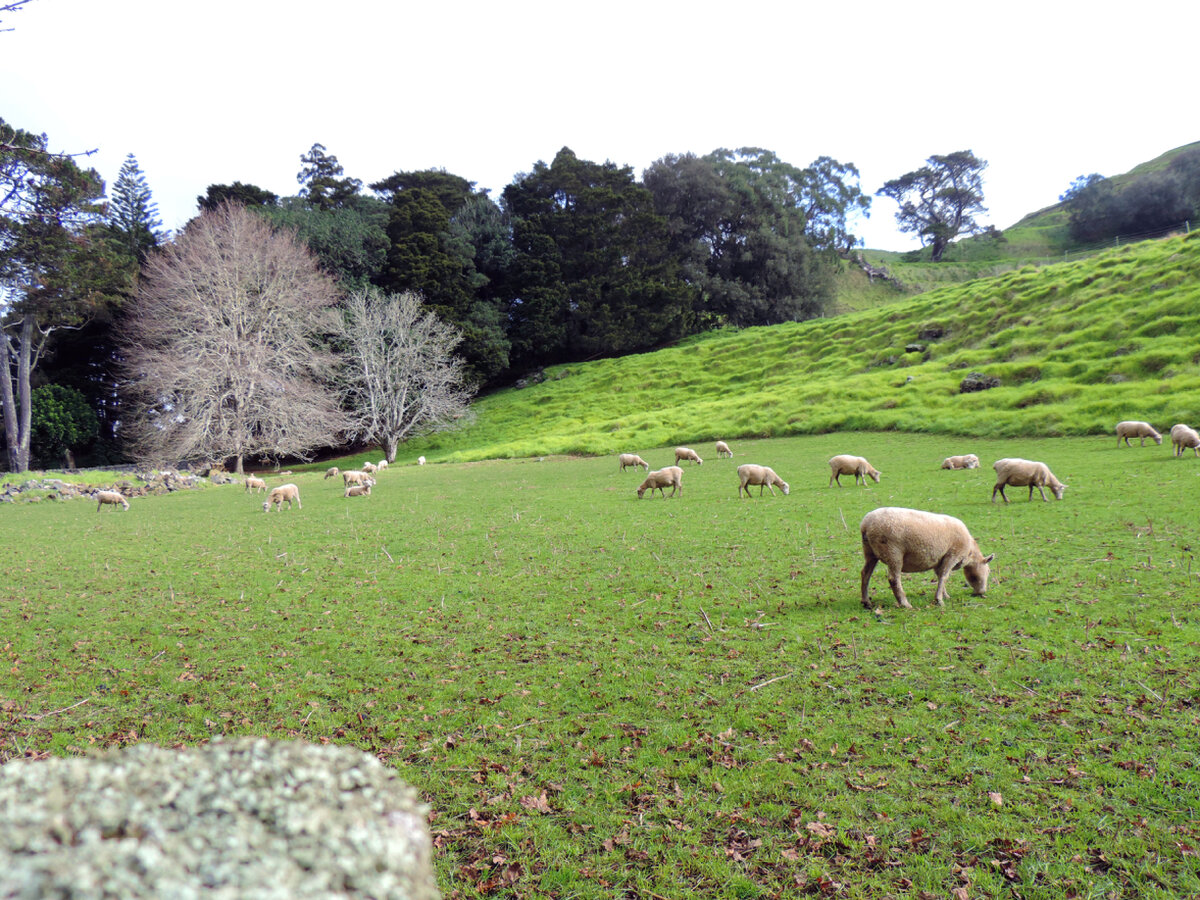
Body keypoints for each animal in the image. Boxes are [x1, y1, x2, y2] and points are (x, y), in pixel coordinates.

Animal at [859, 508, 998, 614]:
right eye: (988, 571)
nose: (981, 593)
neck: (970, 552)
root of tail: (866, 525)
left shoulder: (939, 560)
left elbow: (940, 577)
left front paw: (944, 595)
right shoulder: (952, 555)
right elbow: (944, 576)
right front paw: (939, 601)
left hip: (870, 552)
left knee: (865, 574)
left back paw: (866, 602)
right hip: (893, 552)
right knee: (894, 579)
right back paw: (905, 604)